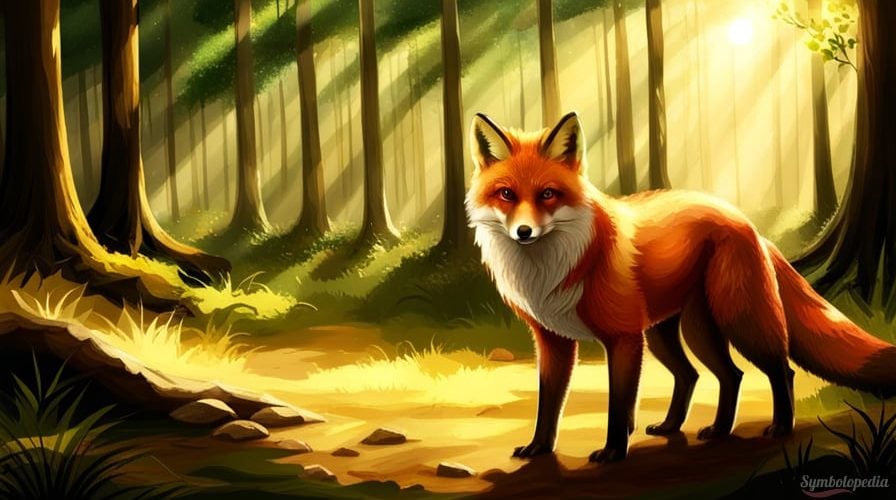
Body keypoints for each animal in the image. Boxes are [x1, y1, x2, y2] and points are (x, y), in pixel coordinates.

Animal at [465, 111, 896, 463]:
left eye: (547, 195)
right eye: (507, 194)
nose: (523, 232)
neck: (553, 265)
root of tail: (746, 222)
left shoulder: (623, 337)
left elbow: (619, 405)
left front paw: (614, 451)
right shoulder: (553, 341)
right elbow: (548, 405)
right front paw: (539, 448)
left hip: (735, 321)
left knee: (779, 371)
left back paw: (779, 427)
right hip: (676, 333)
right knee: (710, 376)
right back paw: (697, 428)